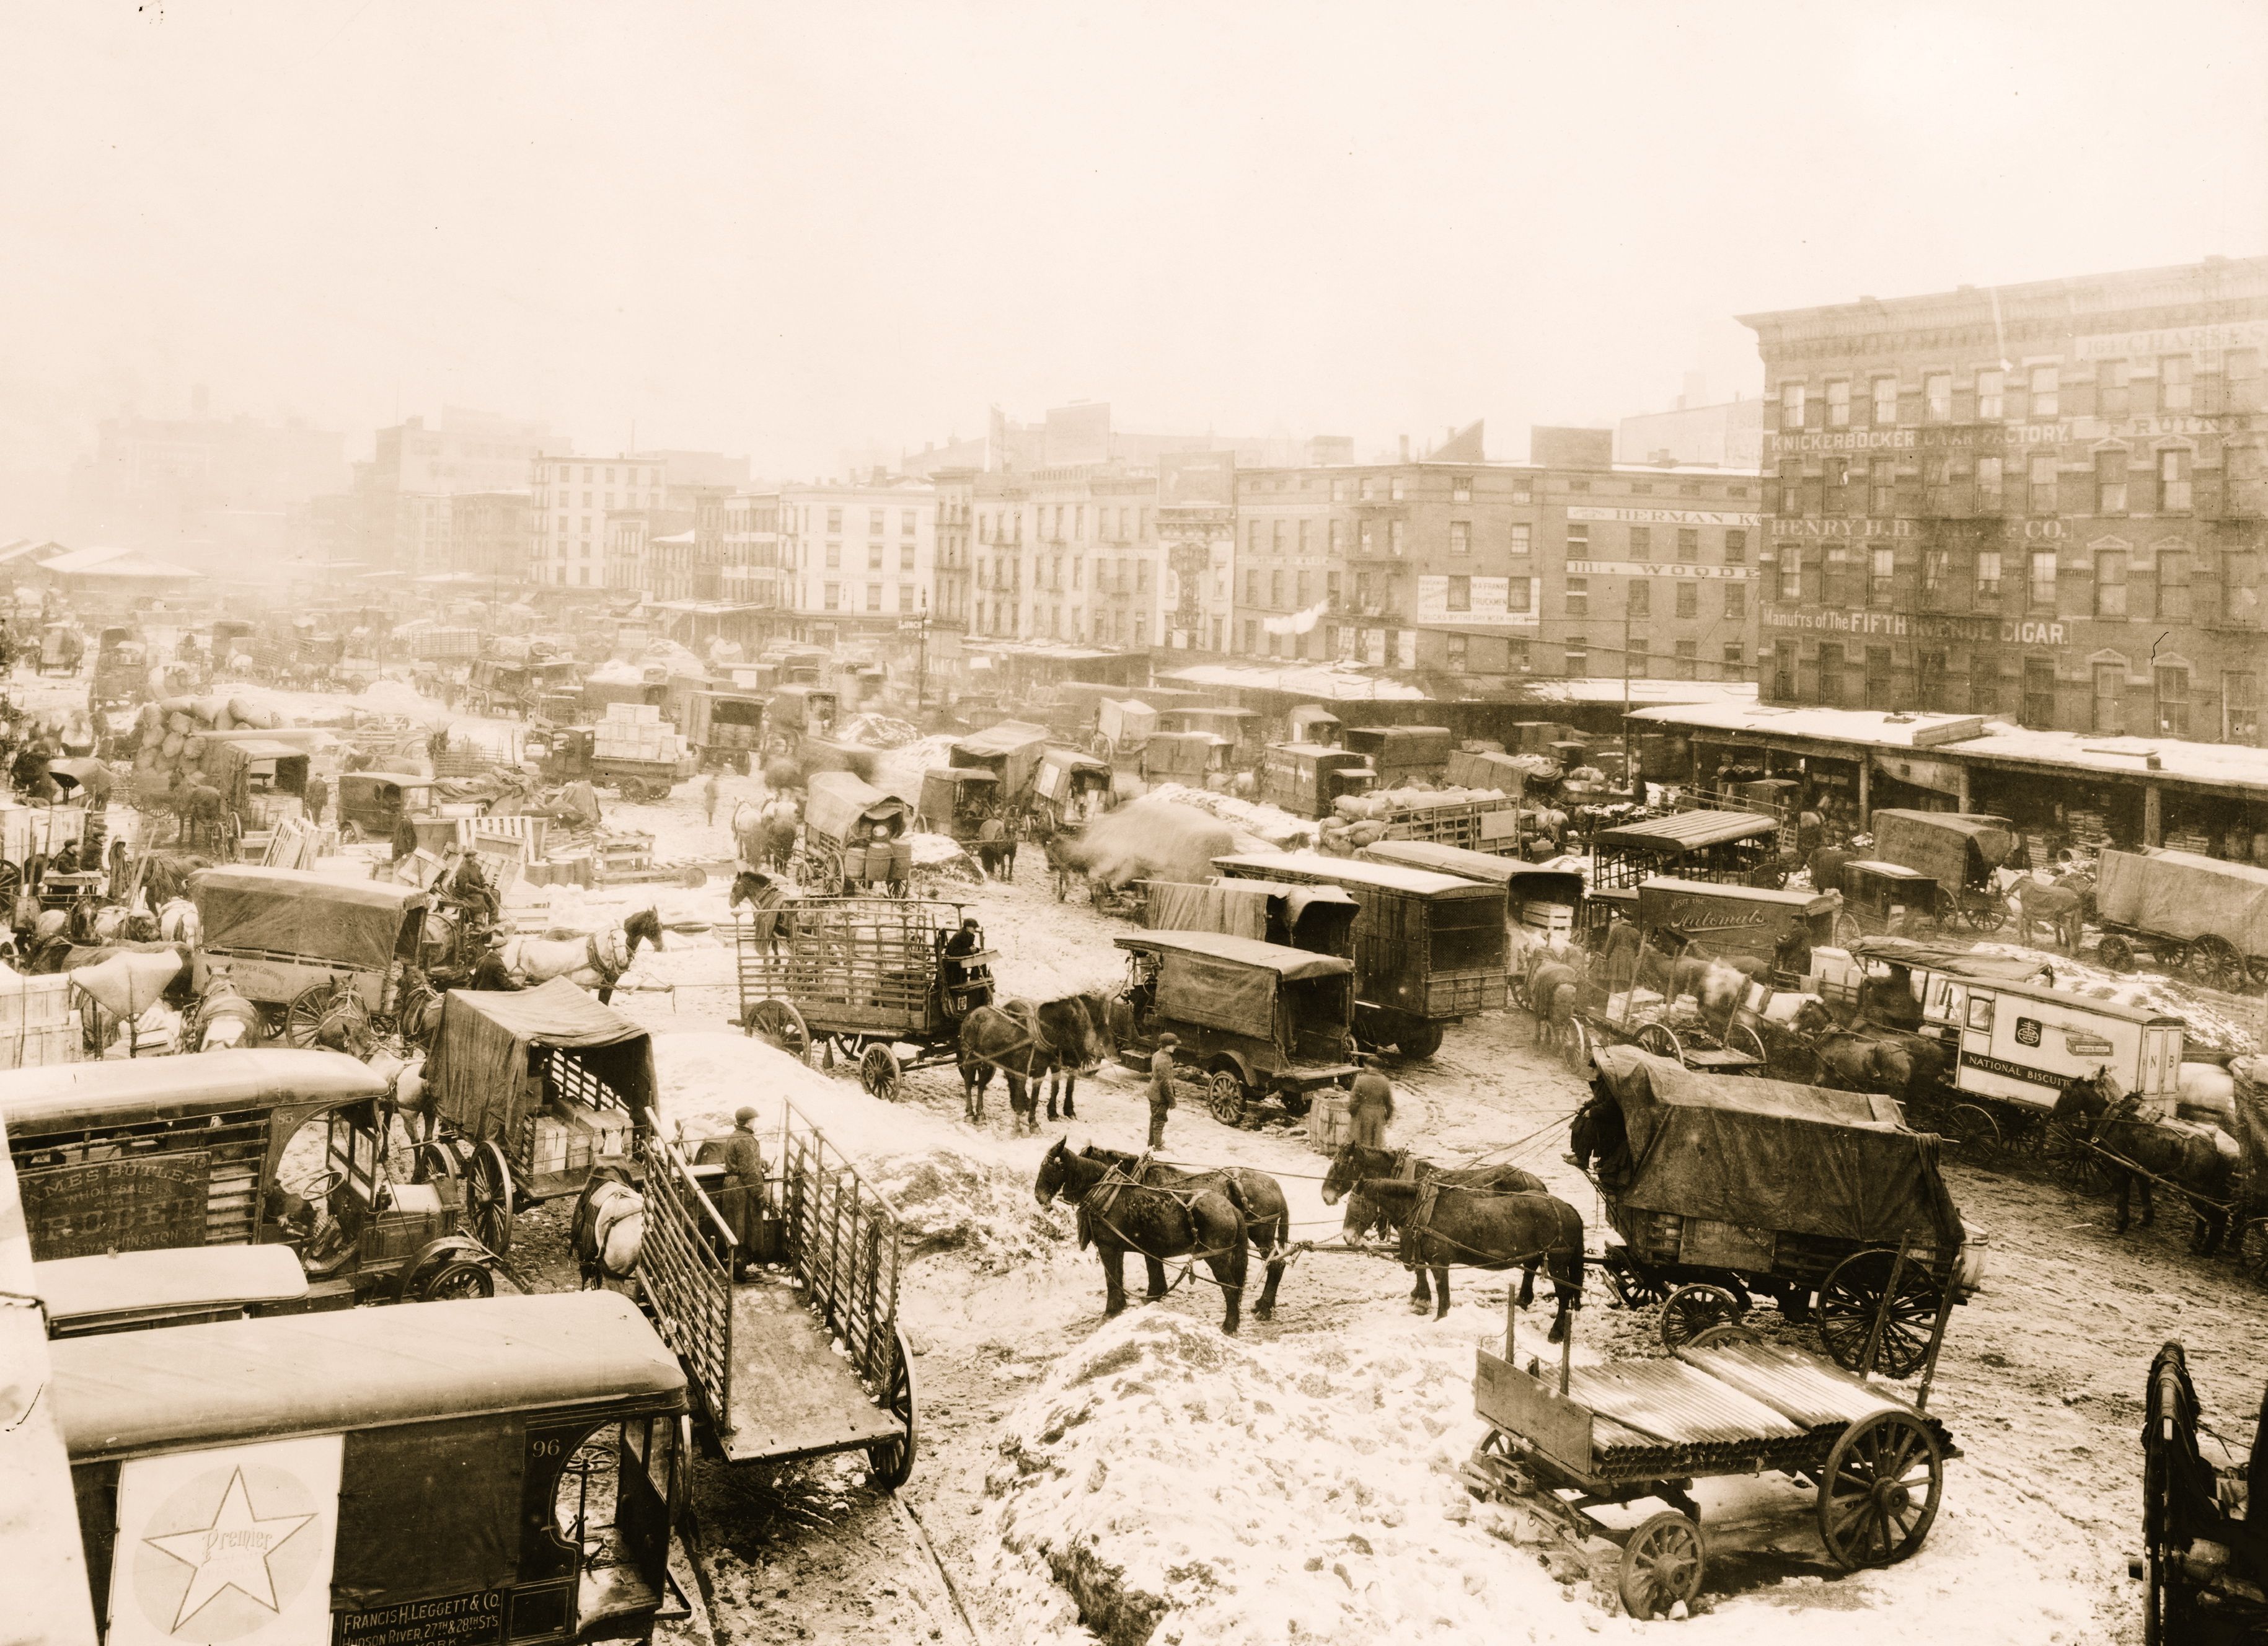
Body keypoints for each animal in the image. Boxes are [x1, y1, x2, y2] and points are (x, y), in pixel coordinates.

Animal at [1038, 1147, 1251, 1342]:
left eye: (1047, 1167)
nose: (1038, 1197)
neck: (1108, 1194)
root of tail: (1231, 1208)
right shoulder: (1125, 1248)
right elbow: (1120, 1277)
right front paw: (1123, 1307)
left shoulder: (1109, 1247)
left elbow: (1112, 1280)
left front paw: (1110, 1312)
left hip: (1217, 1257)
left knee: (1231, 1289)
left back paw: (1229, 1327)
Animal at [1093, 1147, 1306, 1324]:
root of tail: (1275, 1185)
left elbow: (1152, 1268)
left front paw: (1151, 1297)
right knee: (1275, 1264)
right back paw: (1262, 1304)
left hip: (1261, 1236)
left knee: (1276, 1265)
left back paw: (1265, 1309)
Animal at [1351, 1169, 1587, 1342]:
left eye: (1356, 1203)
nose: (1347, 1236)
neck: (1425, 1211)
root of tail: (1568, 1208)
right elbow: (1426, 1277)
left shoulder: (1439, 1261)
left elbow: (1442, 1289)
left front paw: (1440, 1317)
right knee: (1532, 1270)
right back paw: (1523, 1302)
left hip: (1557, 1261)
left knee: (1564, 1294)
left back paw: (1556, 1332)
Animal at [2050, 1075, 2241, 1242]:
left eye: (2066, 1092)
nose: (2052, 1114)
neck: (2117, 1116)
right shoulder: (2138, 1167)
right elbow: (2144, 1191)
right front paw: (2146, 1219)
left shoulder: (2118, 1167)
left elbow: (2122, 1195)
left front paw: (2120, 1224)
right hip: (2217, 1190)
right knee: (2221, 1215)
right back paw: (2212, 1246)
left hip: (2195, 1188)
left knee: (2207, 1213)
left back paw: (2197, 1243)